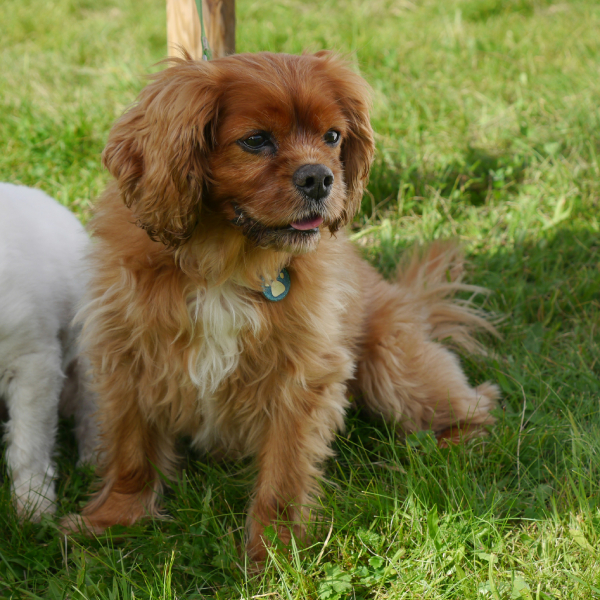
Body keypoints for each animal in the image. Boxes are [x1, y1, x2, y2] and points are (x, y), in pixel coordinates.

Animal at [63, 51, 500, 564]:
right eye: (255, 140)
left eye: (333, 136)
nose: (319, 177)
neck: (225, 263)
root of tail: (411, 303)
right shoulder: (127, 355)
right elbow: (131, 452)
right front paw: (113, 519)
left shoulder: (303, 376)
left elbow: (284, 474)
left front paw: (273, 554)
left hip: (394, 368)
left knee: (479, 407)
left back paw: (438, 449)